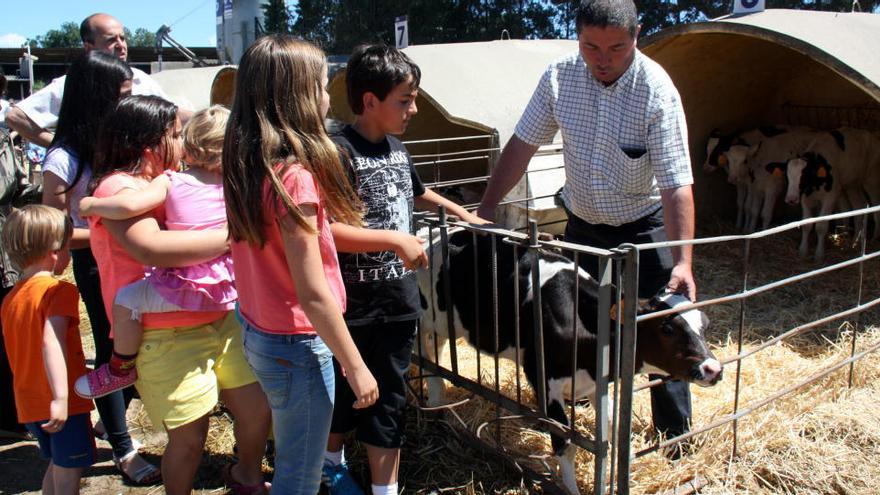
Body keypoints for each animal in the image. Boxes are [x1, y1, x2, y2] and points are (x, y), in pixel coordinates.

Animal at [420, 230, 720, 495]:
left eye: (704, 325)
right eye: (667, 328)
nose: (714, 369)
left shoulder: (596, 380)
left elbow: (609, 426)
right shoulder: (544, 379)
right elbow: (566, 443)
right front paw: (571, 487)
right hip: (431, 322)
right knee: (430, 359)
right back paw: (435, 405)